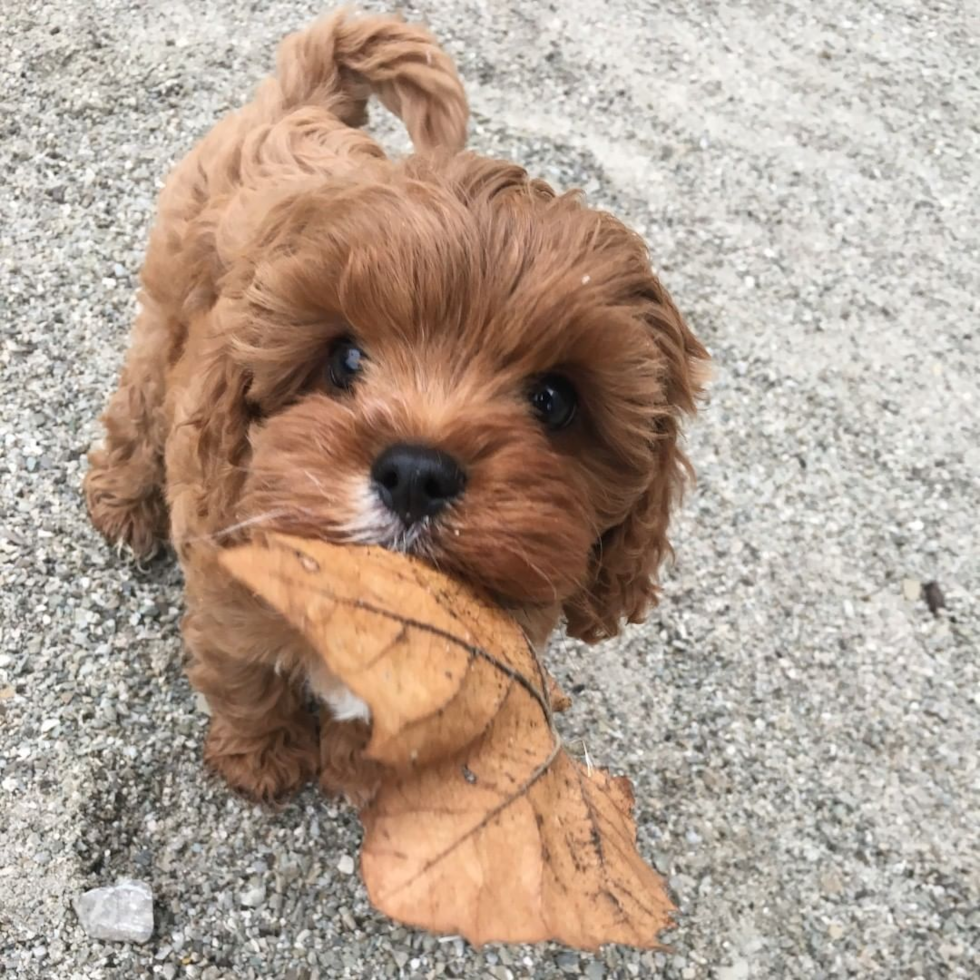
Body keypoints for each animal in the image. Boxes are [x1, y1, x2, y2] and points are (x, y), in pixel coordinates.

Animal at [84, 9, 708, 804]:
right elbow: (244, 670)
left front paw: (362, 770)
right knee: (141, 403)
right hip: (168, 311)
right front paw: (263, 758)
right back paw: (123, 503)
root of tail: (306, 102)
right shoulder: (229, 580)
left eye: (554, 400)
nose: (416, 473)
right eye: (345, 359)